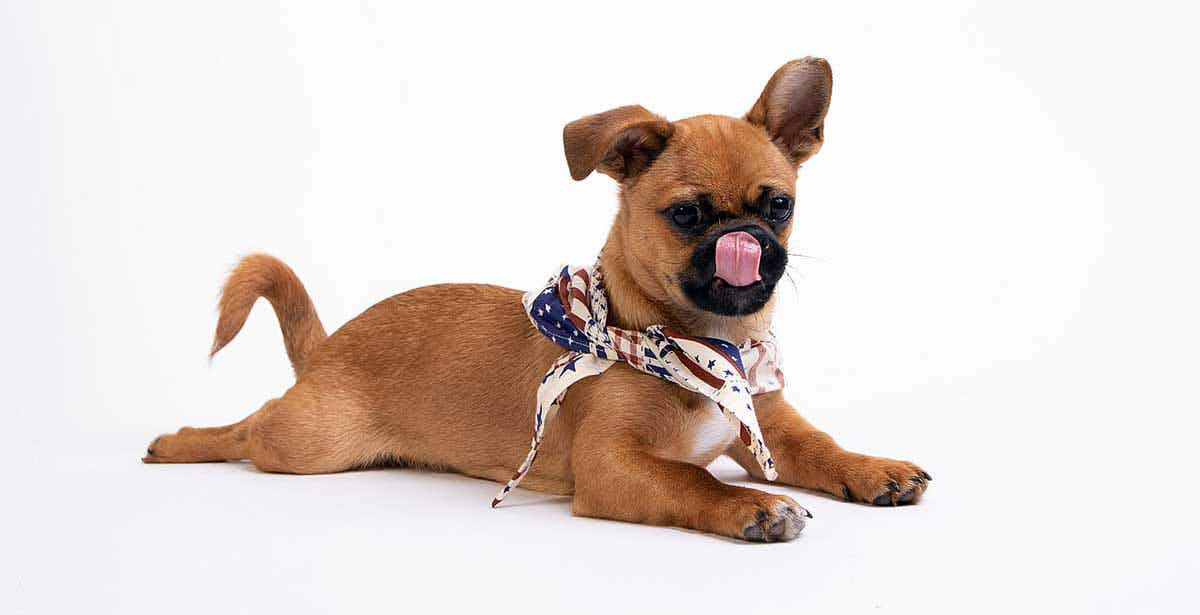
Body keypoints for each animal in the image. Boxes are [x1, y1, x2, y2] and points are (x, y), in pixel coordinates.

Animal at [142, 56, 926, 538]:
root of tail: (329, 345)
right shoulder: (615, 469)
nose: (746, 240)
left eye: (779, 207)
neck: (703, 345)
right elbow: (694, 482)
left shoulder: (770, 425)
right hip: (310, 443)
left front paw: (871, 469)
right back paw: (181, 440)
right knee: (249, 430)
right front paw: (753, 505)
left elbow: (821, 445)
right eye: (686, 215)